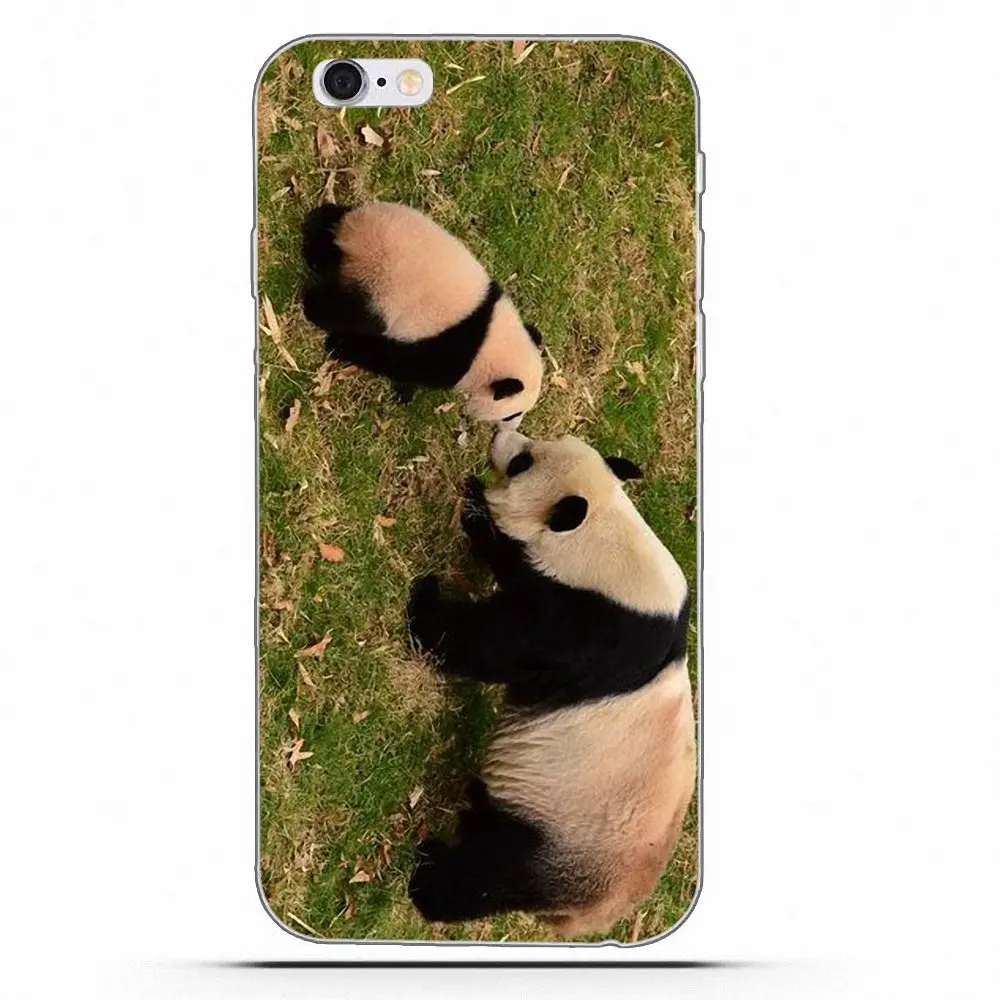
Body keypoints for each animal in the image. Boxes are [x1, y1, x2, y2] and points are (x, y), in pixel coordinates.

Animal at [300, 202, 544, 425]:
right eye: (512, 414)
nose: (512, 427)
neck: (489, 339)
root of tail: (352, 239)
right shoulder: (448, 349)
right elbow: (401, 363)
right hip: (379, 288)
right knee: (350, 313)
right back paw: (313, 304)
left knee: (328, 223)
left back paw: (317, 243)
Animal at [405, 429, 696, 938]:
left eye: (522, 461)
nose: (501, 433)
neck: (603, 533)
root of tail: (587, 916)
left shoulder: (587, 627)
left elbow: (501, 643)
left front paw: (427, 602)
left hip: (554, 837)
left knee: (489, 874)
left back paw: (428, 875)